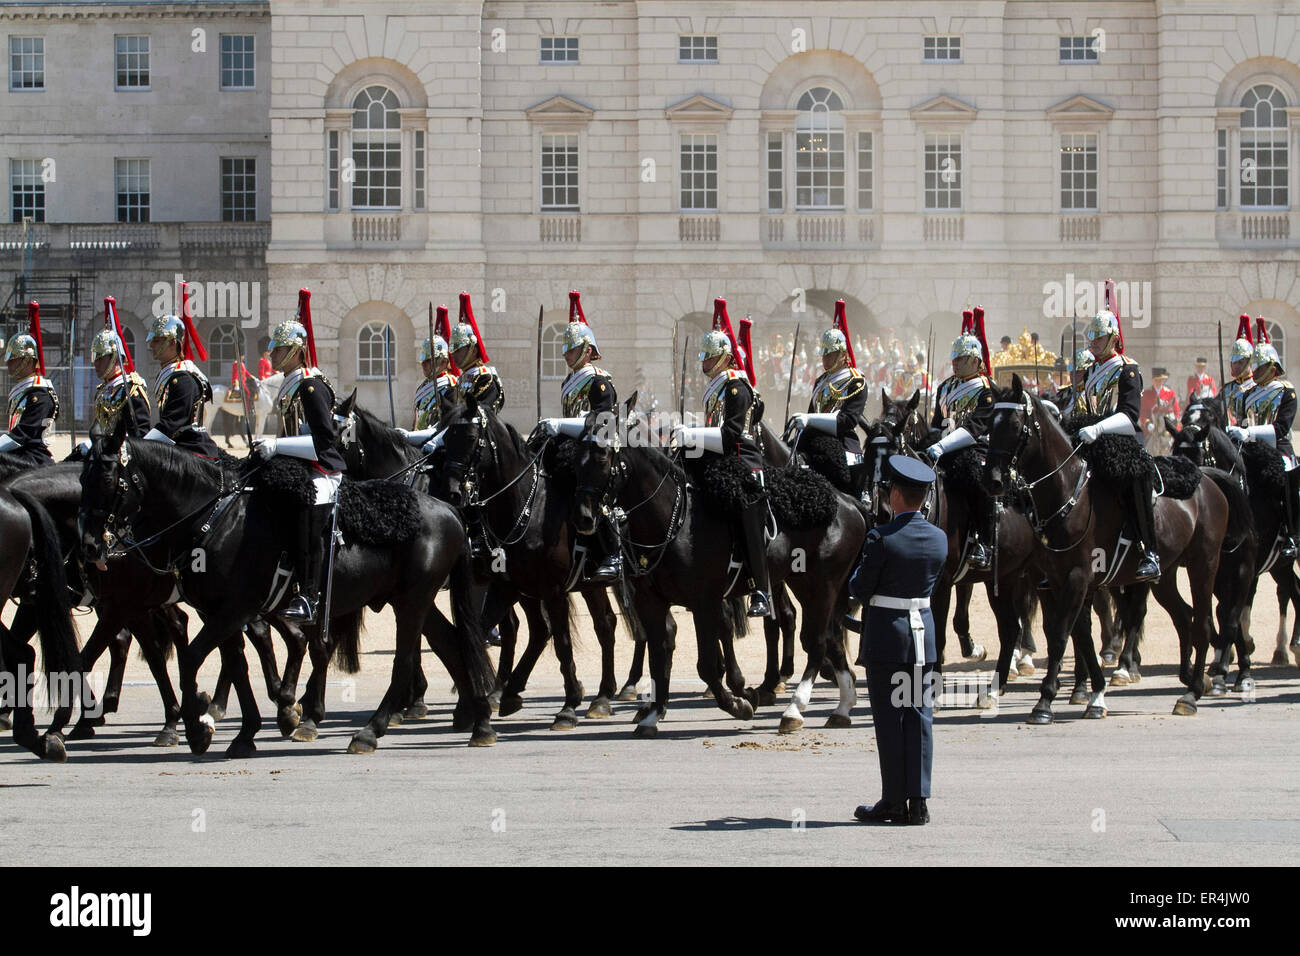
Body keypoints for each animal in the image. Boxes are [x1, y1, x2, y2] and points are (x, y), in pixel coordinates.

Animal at [81, 421, 493, 759]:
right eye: (84, 479)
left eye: (108, 481)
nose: (90, 547)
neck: (215, 518)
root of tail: (449, 509)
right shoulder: (222, 612)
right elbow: (237, 665)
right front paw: (245, 732)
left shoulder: (233, 610)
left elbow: (192, 658)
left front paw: (199, 726)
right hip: (410, 600)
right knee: (453, 643)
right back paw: (480, 720)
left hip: (412, 601)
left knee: (407, 661)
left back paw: (370, 732)